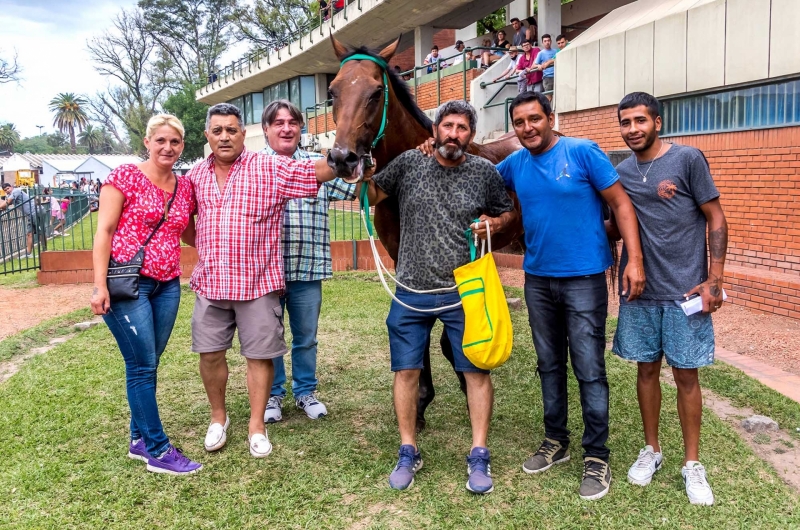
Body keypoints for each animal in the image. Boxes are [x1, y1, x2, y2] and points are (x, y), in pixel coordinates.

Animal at [326, 35, 524, 432]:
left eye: (375, 92)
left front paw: (465, 380)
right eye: (332, 92)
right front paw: (419, 402)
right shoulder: (402, 256)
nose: (342, 158)